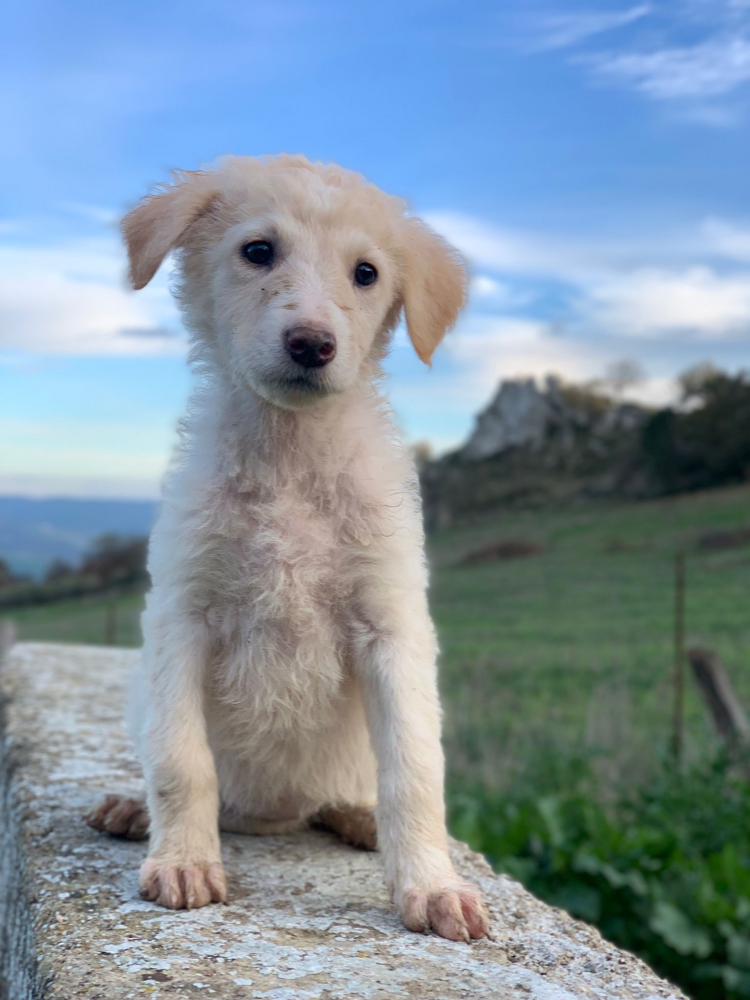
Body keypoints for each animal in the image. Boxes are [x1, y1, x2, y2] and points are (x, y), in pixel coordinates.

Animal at [88, 152, 490, 940]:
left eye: (366, 273)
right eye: (258, 251)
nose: (311, 344)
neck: (290, 458)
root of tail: (272, 817)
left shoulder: (392, 625)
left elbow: (414, 771)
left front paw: (431, 885)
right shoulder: (181, 615)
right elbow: (181, 759)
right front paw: (184, 859)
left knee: (349, 792)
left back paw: (358, 819)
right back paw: (132, 808)